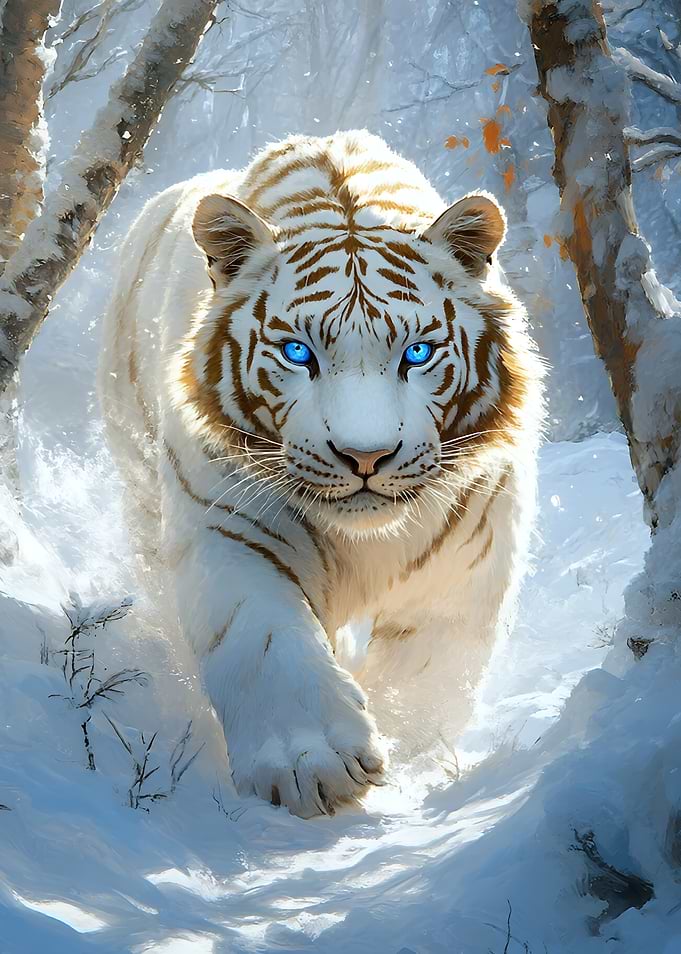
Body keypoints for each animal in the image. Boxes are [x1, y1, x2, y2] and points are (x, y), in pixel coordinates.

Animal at [99, 130, 543, 818]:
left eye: (417, 353)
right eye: (297, 353)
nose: (365, 458)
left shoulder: (461, 571)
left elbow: (426, 682)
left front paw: (411, 762)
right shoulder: (231, 529)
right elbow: (265, 640)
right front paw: (315, 766)